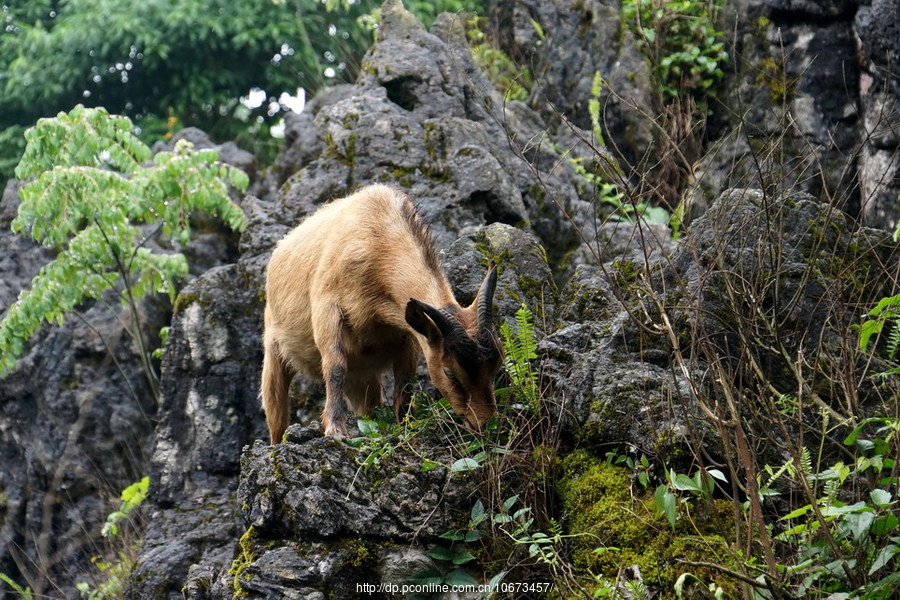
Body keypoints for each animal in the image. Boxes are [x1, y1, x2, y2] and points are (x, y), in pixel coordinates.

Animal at [260, 185, 502, 442]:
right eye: (450, 373)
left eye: (495, 367)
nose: (484, 423)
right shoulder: (327, 308)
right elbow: (335, 367)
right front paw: (336, 430)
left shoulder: (408, 331)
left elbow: (405, 380)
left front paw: (405, 425)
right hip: (274, 355)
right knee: (276, 414)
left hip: (362, 377)